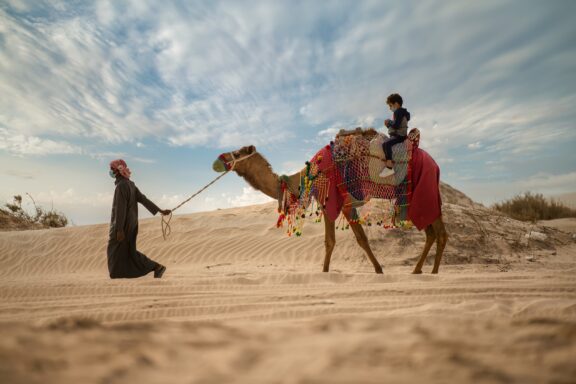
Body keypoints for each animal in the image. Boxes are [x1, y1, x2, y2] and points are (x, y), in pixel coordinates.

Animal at [214, 143, 448, 272]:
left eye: (239, 152)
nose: (218, 159)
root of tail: (436, 164)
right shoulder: (339, 204)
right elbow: (346, 239)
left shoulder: (337, 201)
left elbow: (338, 241)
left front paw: (327, 272)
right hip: (413, 198)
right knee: (431, 232)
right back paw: (419, 270)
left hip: (423, 190)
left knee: (439, 232)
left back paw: (432, 272)